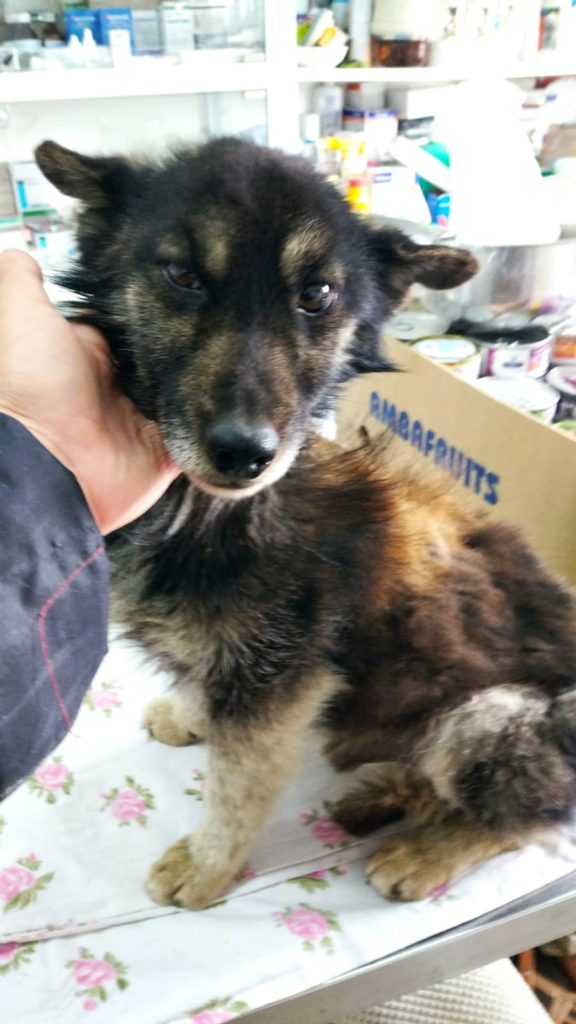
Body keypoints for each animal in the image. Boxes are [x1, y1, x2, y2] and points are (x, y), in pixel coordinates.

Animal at [36, 137, 576, 910]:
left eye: (316, 296)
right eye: (182, 276)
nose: (244, 452)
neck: (209, 512)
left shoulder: (280, 682)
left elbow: (236, 788)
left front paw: (207, 866)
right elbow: (204, 692)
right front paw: (189, 715)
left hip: (491, 717)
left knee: (527, 821)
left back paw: (426, 848)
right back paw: (388, 794)